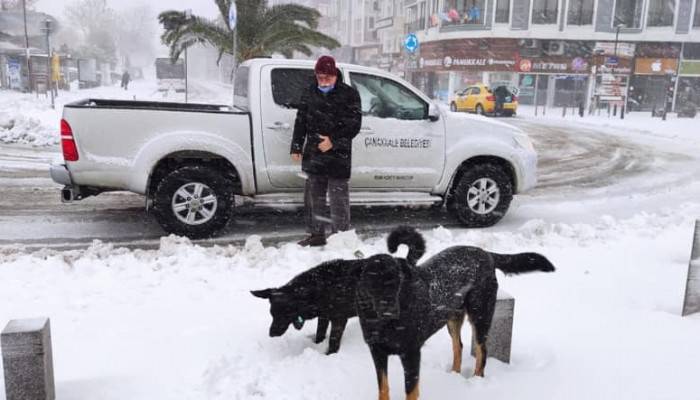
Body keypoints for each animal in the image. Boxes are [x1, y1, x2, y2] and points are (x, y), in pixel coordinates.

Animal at [358, 227, 556, 398]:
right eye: (373, 283)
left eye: (397, 282)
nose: (390, 309)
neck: (384, 324)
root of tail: (486, 253)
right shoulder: (377, 353)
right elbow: (383, 388)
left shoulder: (411, 353)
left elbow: (411, 391)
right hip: (452, 318)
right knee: (458, 346)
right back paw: (453, 376)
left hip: (480, 316)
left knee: (482, 351)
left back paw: (476, 382)